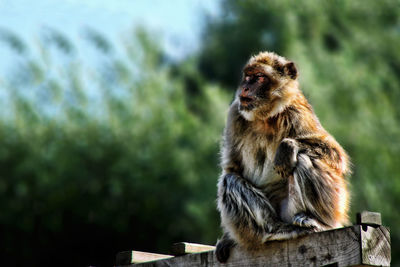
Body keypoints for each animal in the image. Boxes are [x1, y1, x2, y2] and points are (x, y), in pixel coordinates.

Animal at [216, 51, 350, 262]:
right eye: (247, 76)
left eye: (259, 77)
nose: (245, 87)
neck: (265, 117)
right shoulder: (235, 114)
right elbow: (232, 168)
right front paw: (227, 238)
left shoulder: (297, 112)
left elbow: (336, 155)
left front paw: (287, 146)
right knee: (230, 180)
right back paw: (275, 230)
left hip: (324, 208)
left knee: (302, 159)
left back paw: (318, 222)